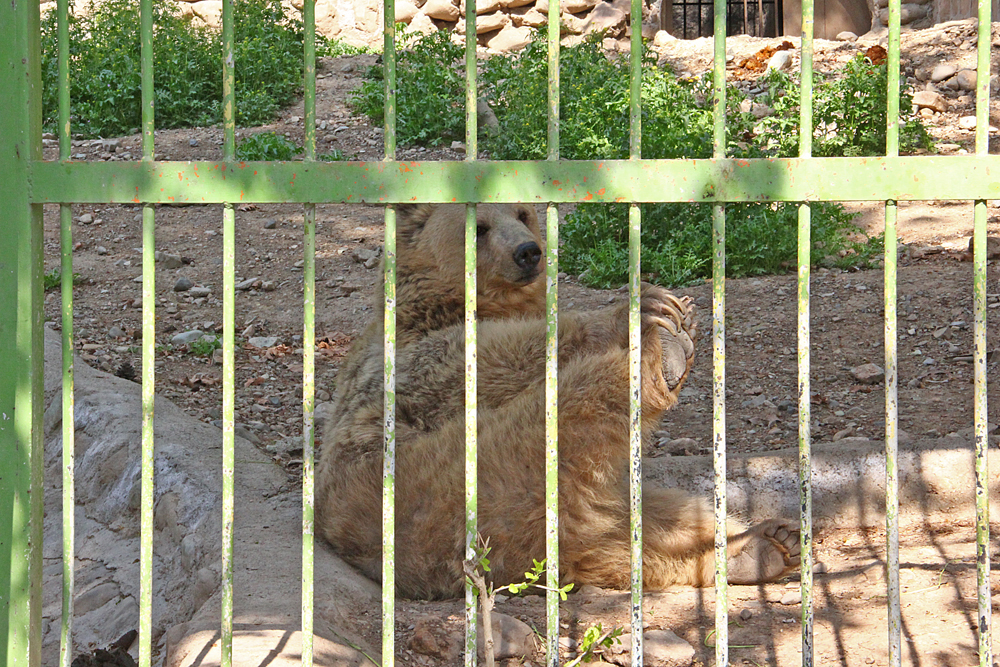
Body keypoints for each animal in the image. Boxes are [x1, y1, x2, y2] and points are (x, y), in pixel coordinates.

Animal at [316, 202, 800, 600]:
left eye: (522, 213)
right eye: (478, 227)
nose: (528, 252)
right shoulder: (410, 363)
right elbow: (491, 356)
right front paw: (645, 307)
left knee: (654, 521)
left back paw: (767, 543)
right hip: (457, 487)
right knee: (572, 408)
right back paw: (657, 354)